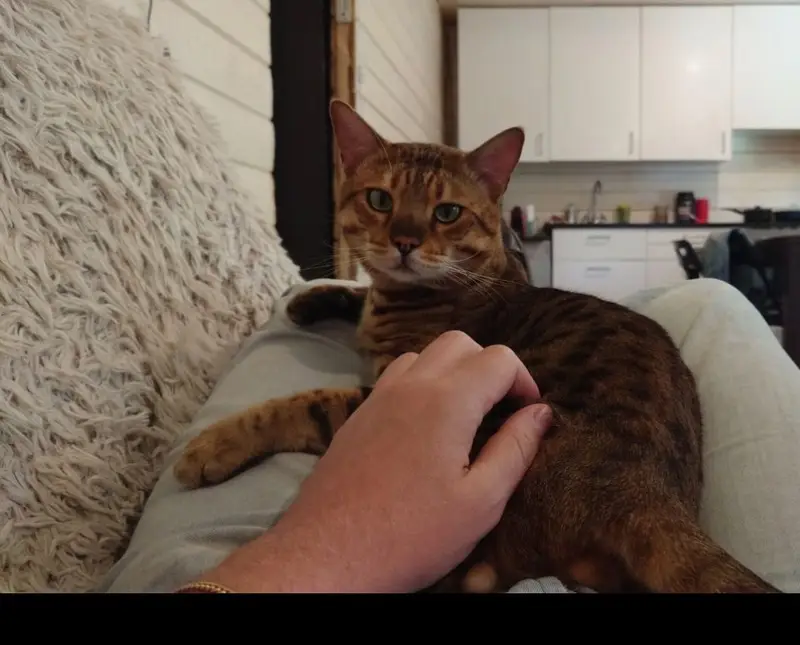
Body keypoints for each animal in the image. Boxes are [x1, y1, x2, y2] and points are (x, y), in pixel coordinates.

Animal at [173, 99, 779, 594]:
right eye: (379, 199)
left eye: (447, 212)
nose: (405, 241)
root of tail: (648, 495)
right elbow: (354, 293)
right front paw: (310, 300)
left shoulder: (394, 384)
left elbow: (302, 404)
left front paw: (212, 447)